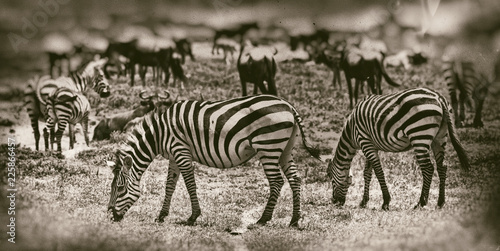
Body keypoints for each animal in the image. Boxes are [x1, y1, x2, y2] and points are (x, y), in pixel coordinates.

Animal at [107, 94, 322, 227]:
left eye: (120, 188)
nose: (110, 216)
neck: (160, 135)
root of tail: (289, 106)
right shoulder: (174, 157)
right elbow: (169, 185)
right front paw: (161, 215)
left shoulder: (181, 151)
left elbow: (190, 184)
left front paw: (193, 216)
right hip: (285, 148)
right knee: (294, 179)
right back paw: (294, 220)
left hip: (267, 146)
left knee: (277, 181)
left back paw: (263, 219)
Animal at [326, 88, 470, 210]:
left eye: (331, 179)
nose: (335, 202)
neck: (351, 132)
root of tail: (439, 98)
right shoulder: (370, 145)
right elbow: (367, 173)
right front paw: (364, 201)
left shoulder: (365, 141)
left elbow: (378, 172)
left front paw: (385, 202)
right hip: (440, 136)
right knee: (442, 167)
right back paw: (440, 202)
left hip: (419, 136)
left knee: (428, 168)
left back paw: (421, 203)